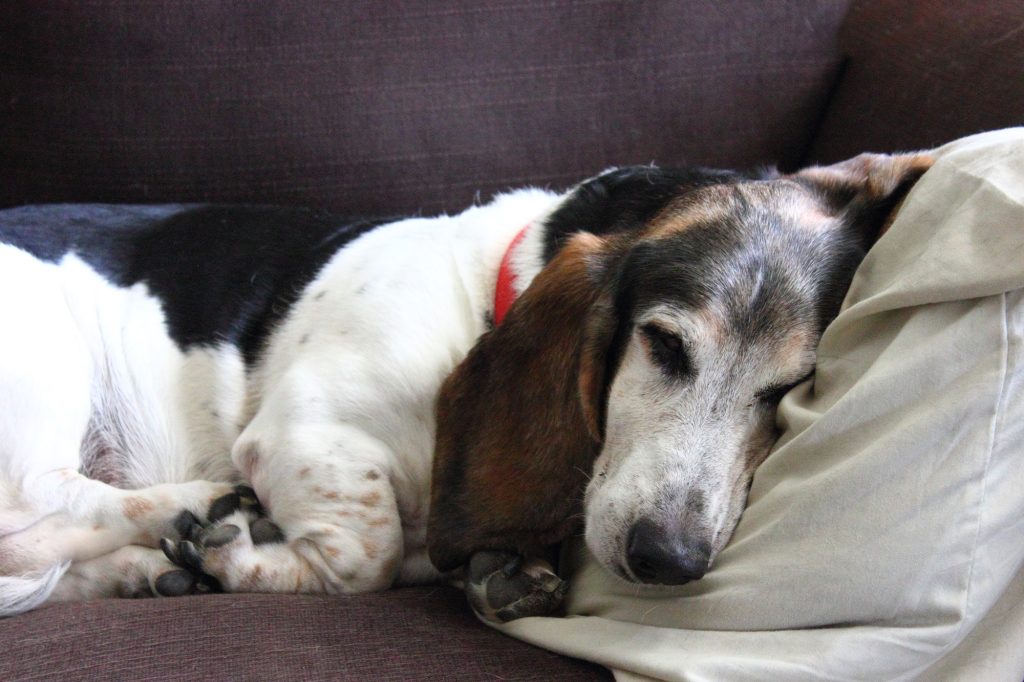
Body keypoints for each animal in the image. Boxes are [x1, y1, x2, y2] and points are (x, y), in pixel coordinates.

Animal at [0, 151, 929, 618]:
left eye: (791, 388)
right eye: (662, 345)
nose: (668, 561)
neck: (483, 297)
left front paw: (500, 572)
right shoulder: (305, 432)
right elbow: (368, 556)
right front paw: (245, 553)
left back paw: (141, 569)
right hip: (46, 353)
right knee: (38, 502)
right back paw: (194, 508)